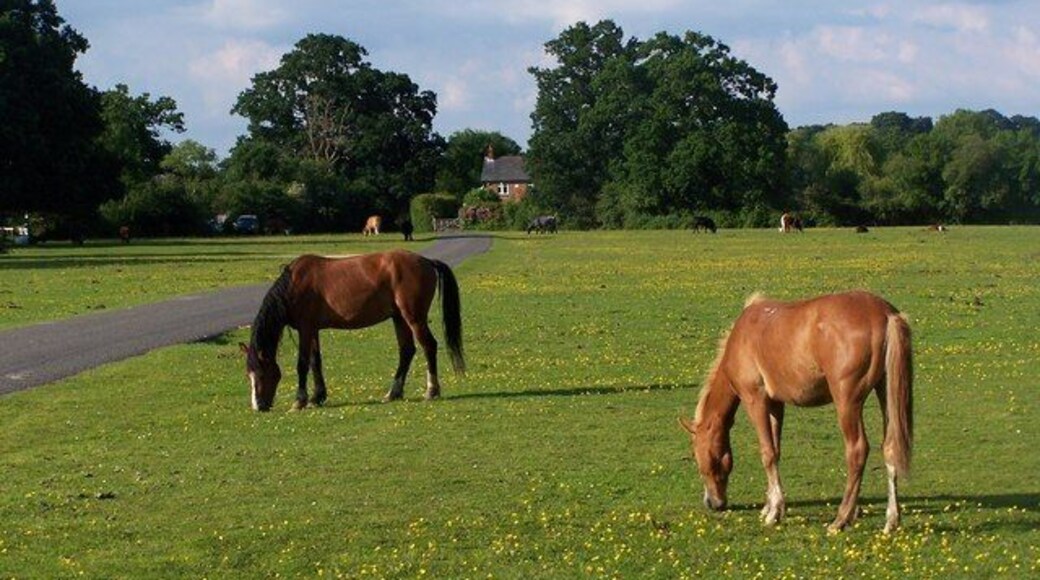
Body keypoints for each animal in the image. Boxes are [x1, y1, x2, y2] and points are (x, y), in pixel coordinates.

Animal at [239, 250, 465, 411]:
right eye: (248, 376)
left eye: (261, 374)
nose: (258, 407)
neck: (293, 285)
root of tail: (426, 261)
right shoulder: (313, 329)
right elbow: (315, 361)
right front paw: (317, 397)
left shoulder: (305, 328)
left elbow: (302, 364)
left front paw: (300, 401)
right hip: (399, 319)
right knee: (407, 351)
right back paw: (393, 392)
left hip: (413, 318)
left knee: (429, 346)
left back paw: (431, 390)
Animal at [679, 291, 913, 533]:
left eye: (700, 457)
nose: (712, 503)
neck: (741, 337)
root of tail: (885, 314)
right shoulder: (775, 405)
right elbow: (776, 450)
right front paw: (770, 506)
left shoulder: (755, 400)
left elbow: (767, 453)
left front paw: (774, 512)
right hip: (885, 392)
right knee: (890, 447)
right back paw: (891, 520)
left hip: (847, 402)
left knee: (857, 451)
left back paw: (841, 519)